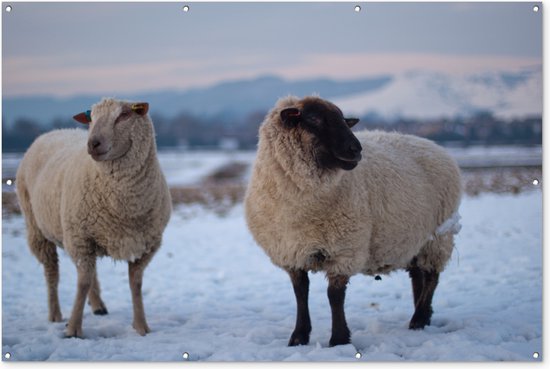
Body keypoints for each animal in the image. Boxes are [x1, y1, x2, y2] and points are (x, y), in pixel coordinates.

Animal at [16, 98, 171, 336]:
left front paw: (141, 327)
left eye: (124, 115)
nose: (93, 144)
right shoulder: (80, 238)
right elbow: (82, 284)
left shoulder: (145, 244)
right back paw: (55, 314)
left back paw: (98, 306)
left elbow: (135, 284)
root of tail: (54, 131)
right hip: (38, 228)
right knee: (53, 272)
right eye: (91, 118)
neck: (123, 207)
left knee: (89, 273)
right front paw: (73, 329)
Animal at [247, 95, 466, 344]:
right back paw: (422, 316)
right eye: (314, 119)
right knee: (417, 276)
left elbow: (334, 296)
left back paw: (418, 319)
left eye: (344, 120)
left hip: (439, 235)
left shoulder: (344, 249)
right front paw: (299, 336)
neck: (302, 207)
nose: (356, 149)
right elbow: (300, 293)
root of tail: (434, 145)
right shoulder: (291, 252)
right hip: (415, 239)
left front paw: (339, 339)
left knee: (431, 277)